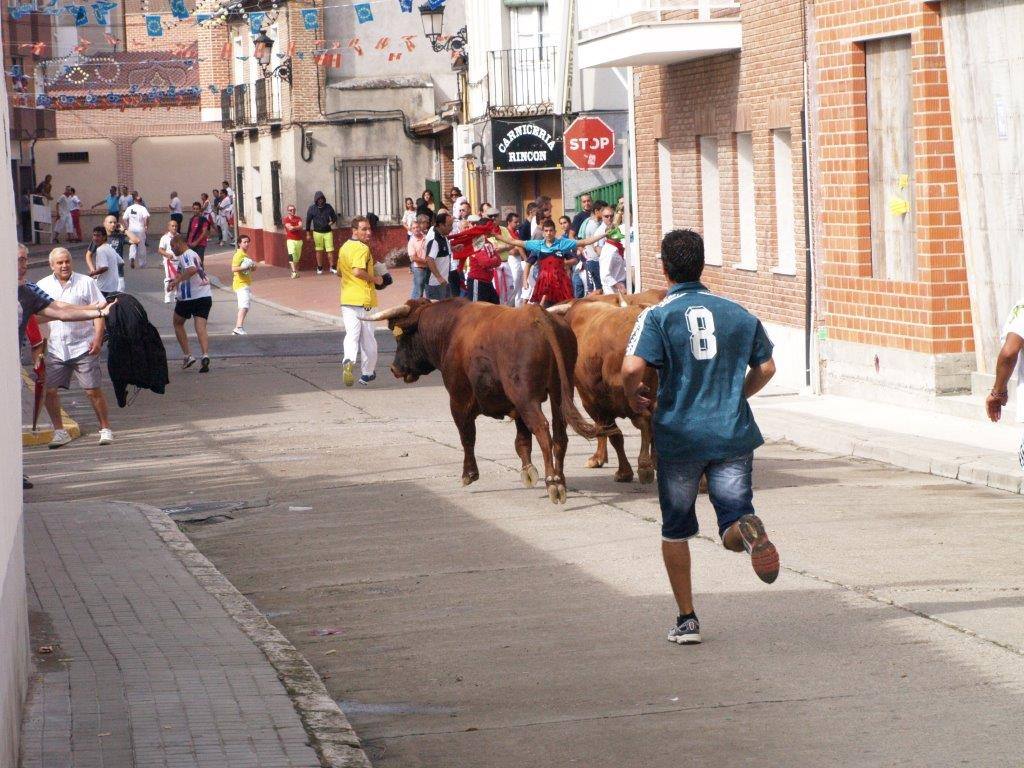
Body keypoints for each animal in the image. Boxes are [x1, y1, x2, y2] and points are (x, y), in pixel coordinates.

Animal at [364, 299, 598, 505]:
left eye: (400, 338)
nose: (394, 368)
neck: (451, 327)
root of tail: (537, 315)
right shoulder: (516, 406)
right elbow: (522, 440)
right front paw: (528, 471)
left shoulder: (459, 400)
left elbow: (467, 437)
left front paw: (469, 473)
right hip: (558, 393)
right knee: (560, 434)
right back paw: (561, 479)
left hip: (527, 397)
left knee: (542, 429)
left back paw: (553, 483)